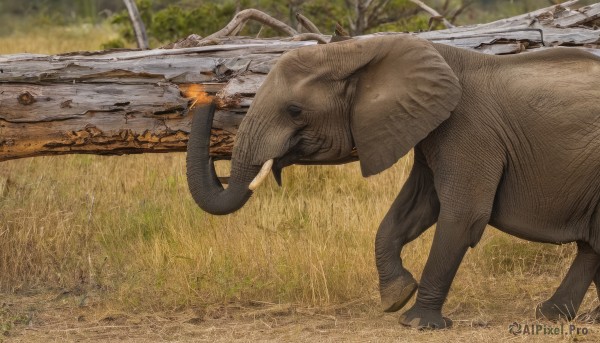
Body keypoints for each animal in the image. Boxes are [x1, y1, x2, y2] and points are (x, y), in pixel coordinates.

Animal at [186, 35, 600, 330]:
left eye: (294, 110)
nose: (204, 96)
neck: (367, 49)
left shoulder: (468, 129)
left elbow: (461, 216)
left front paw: (416, 322)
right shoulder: (427, 127)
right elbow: (413, 210)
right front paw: (396, 296)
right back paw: (552, 315)